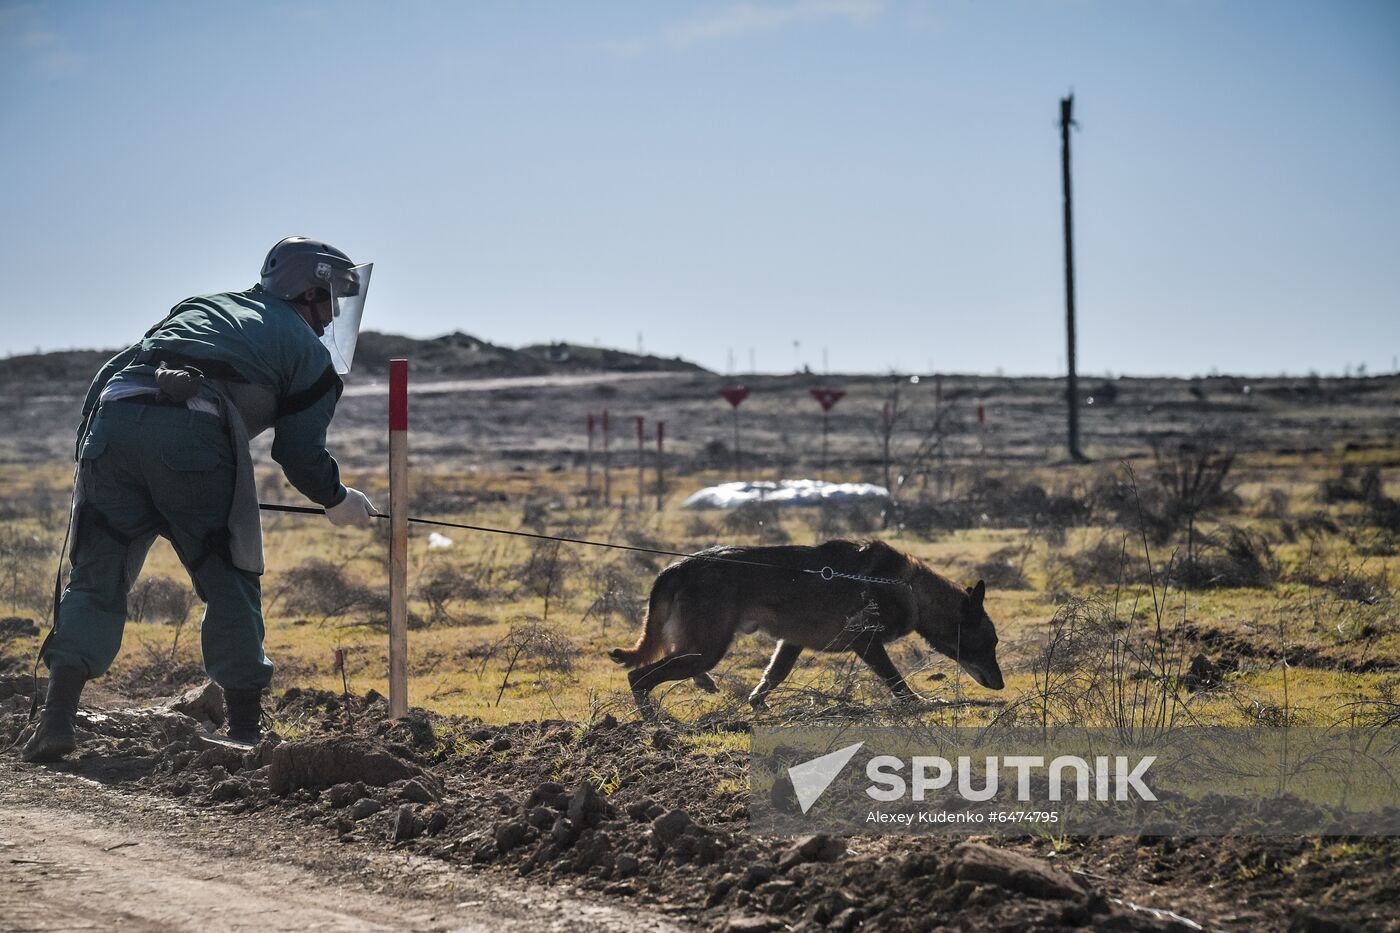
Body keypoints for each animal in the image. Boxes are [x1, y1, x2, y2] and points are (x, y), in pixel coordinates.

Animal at [607, 535, 1002, 708]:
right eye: (989, 643)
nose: (1000, 685)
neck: (909, 588)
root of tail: (679, 566)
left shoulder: (790, 642)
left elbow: (773, 675)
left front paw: (757, 703)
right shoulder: (866, 641)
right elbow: (896, 680)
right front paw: (919, 703)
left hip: (699, 647)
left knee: (669, 663)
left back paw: (702, 684)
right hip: (707, 649)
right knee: (638, 676)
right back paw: (652, 718)